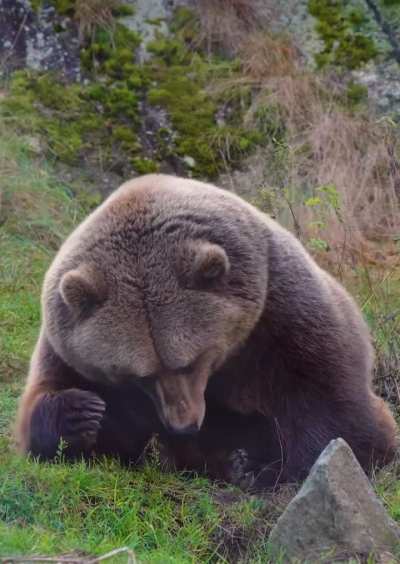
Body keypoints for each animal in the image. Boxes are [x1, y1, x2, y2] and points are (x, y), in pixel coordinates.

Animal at [14, 175, 398, 490]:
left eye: (190, 361)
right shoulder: (66, 344)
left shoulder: (282, 316)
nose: (184, 424)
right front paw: (80, 412)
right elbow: (53, 403)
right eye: (141, 375)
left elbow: (327, 401)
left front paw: (276, 469)